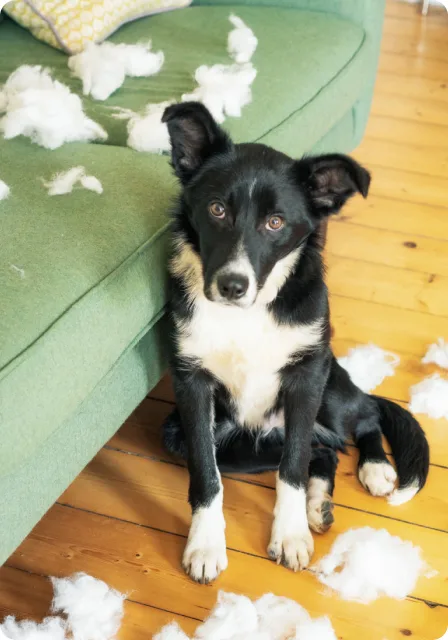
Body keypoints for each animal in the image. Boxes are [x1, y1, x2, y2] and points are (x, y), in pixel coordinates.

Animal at [161, 101, 430, 584]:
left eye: (276, 222)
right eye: (216, 209)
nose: (232, 286)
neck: (248, 314)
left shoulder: (306, 377)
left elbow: (292, 468)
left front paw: (288, 537)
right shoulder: (191, 383)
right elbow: (206, 474)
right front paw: (205, 546)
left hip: (331, 389)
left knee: (363, 417)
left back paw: (375, 468)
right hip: (214, 437)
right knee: (321, 451)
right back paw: (318, 503)